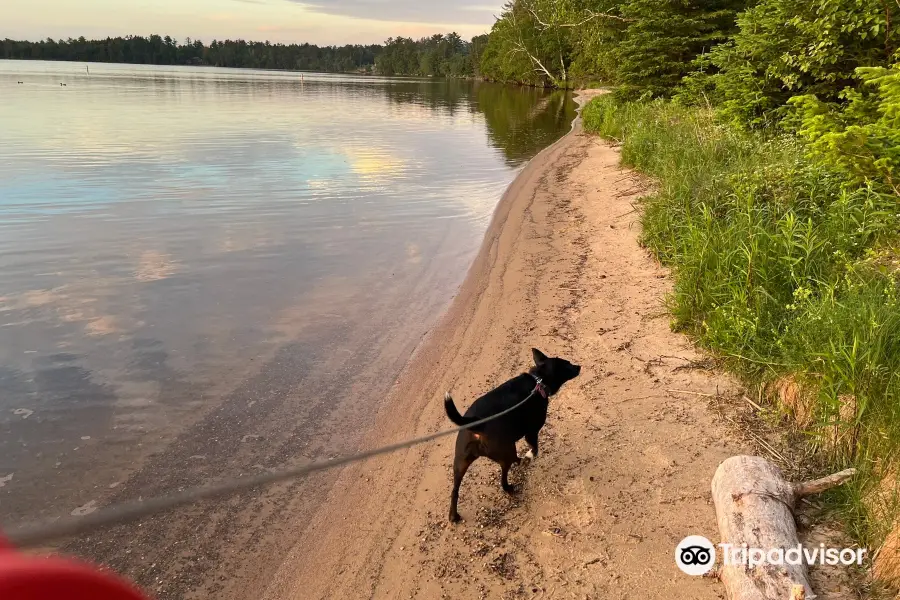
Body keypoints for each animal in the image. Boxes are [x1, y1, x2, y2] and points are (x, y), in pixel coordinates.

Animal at [444, 350, 584, 524]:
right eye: (567, 364)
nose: (579, 366)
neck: (538, 381)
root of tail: (475, 423)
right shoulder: (532, 431)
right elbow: (535, 447)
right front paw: (530, 456)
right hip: (506, 450)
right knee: (504, 479)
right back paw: (513, 482)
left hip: (461, 462)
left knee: (455, 490)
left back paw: (453, 516)